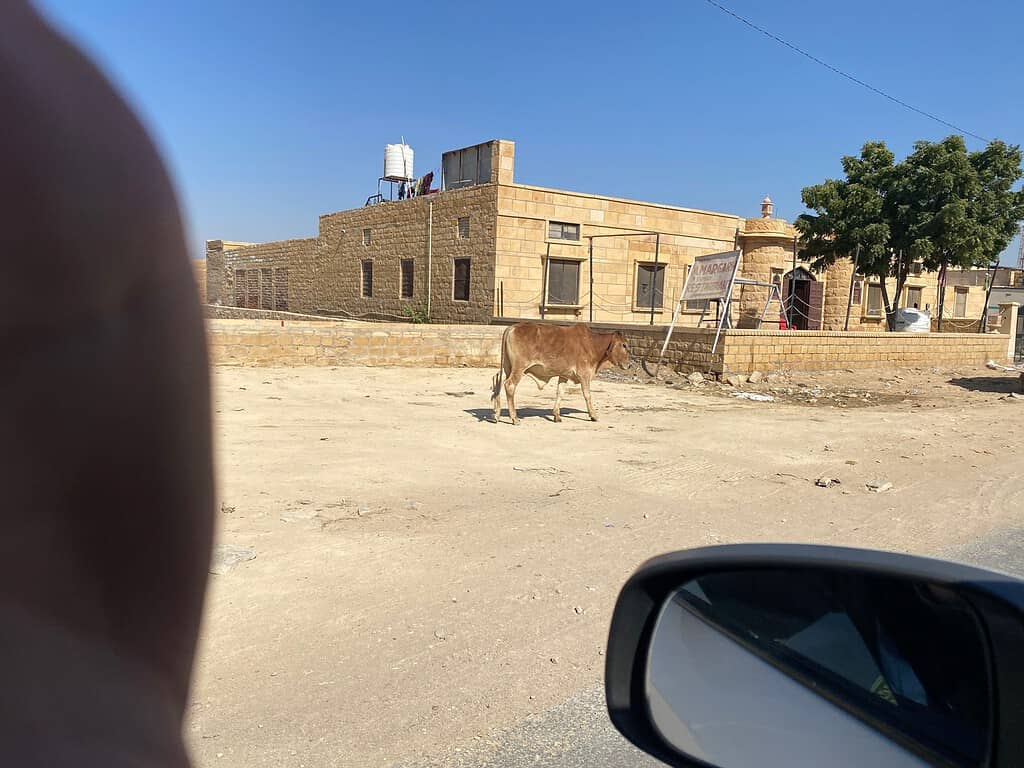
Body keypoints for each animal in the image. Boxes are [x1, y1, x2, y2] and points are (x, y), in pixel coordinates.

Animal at [489, 321, 630, 423]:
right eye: (624, 345)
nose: (629, 365)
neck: (593, 344)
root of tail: (512, 328)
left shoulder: (564, 375)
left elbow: (560, 393)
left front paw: (557, 415)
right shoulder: (584, 375)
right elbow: (587, 395)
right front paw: (593, 415)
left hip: (507, 368)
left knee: (499, 383)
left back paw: (496, 415)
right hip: (519, 368)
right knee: (509, 385)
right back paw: (514, 418)